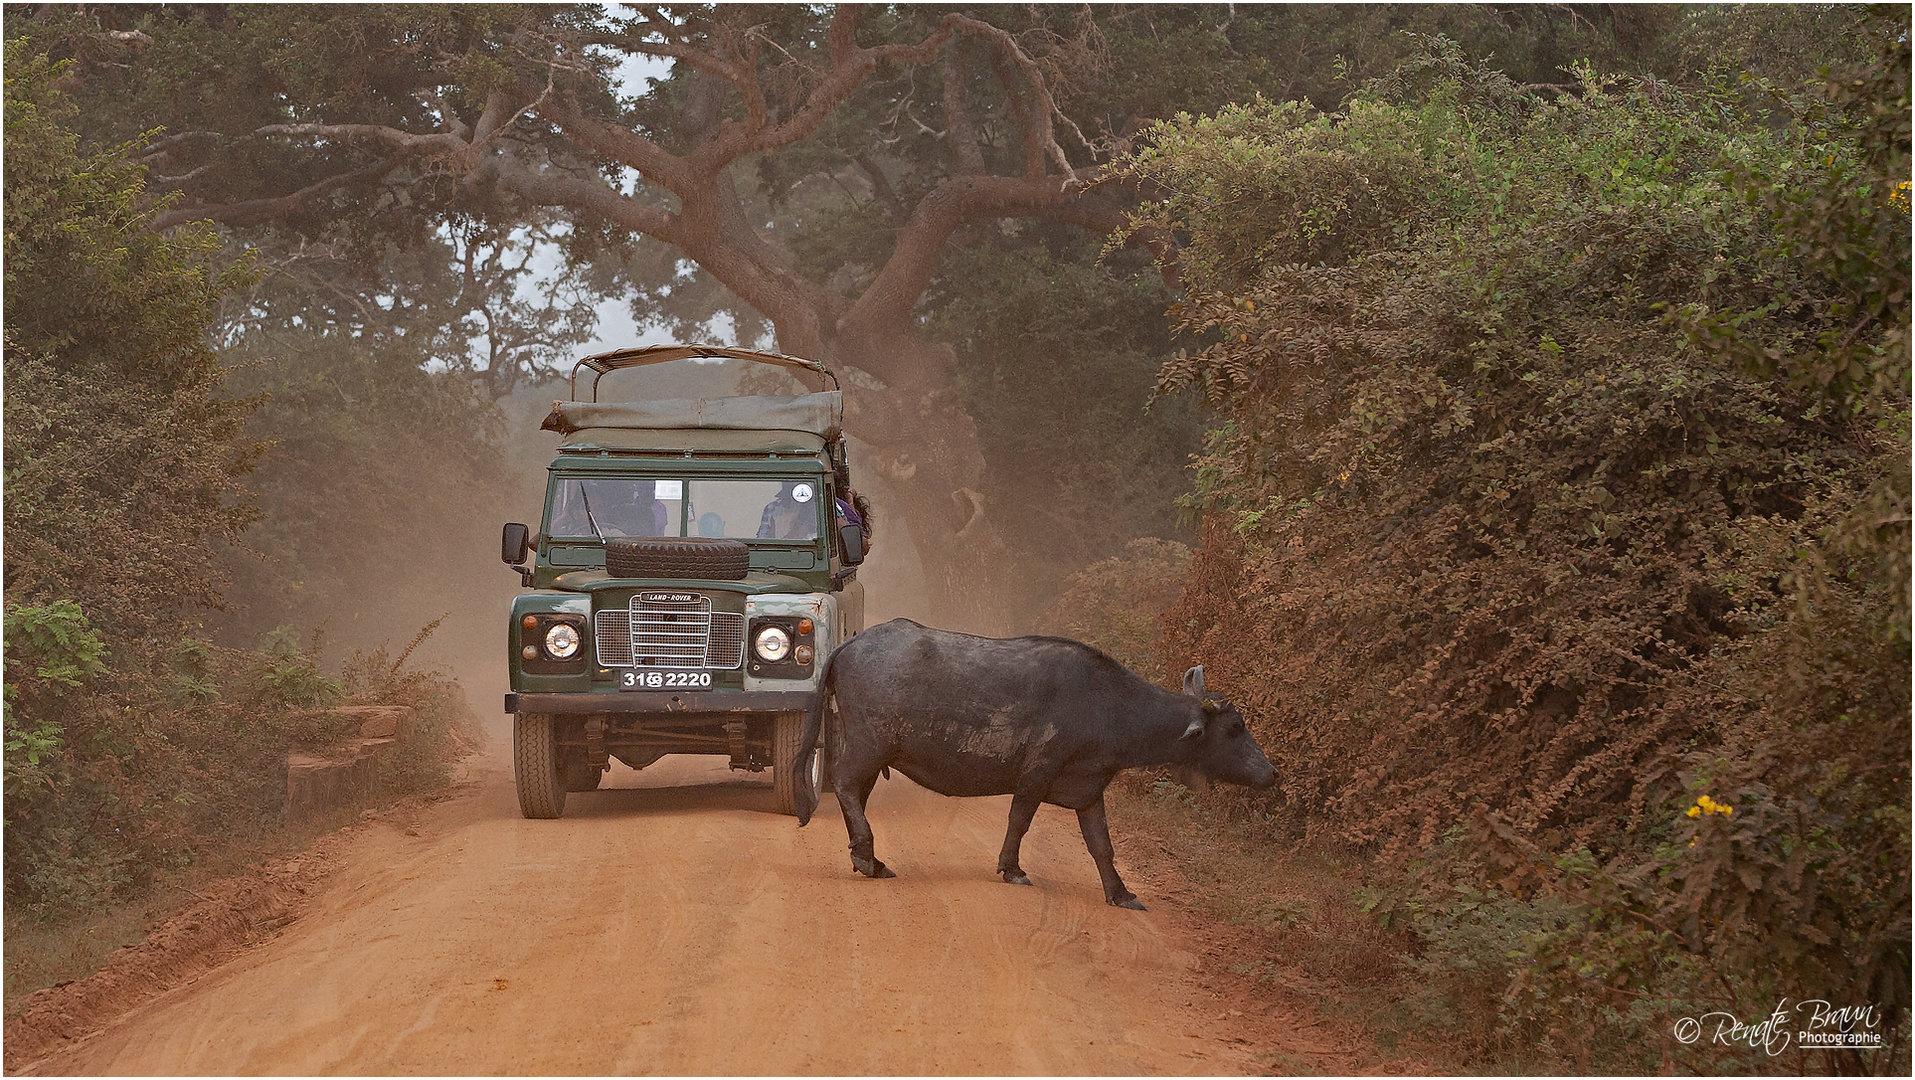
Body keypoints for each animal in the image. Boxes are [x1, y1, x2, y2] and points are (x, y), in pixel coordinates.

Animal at [792, 620, 1271, 907]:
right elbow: (1019, 820)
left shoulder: (1088, 788)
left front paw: (1121, 893)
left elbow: (1101, 845)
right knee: (845, 782)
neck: (1107, 705)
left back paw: (868, 857)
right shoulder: (1038, 774)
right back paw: (868, 856)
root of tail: (848, 645)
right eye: (1235, 727)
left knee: (857, 793)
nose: (1271, 772)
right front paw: (1013, 869)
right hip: (868, 745)